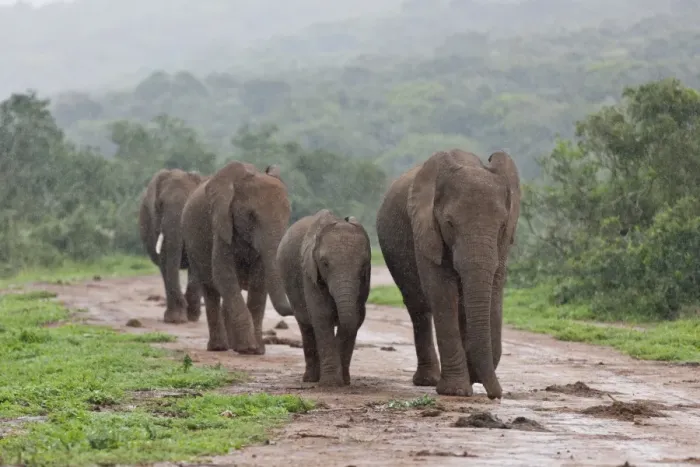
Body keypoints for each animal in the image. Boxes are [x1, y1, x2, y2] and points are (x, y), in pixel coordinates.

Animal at [139, 168, 208, 324]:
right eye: (160, 204)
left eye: (190, 204)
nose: (183, 303)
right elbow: (165, 261)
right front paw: (175, 319)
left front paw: (191, 316)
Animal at [181, 160, 294, 355]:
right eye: (251, 216)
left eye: (288, 215)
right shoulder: (221, 225)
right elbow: (223, 275)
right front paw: (248, 348)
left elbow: (259, 283)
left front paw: (257, 351)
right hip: (192, 245)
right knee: (211, 290)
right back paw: (219, 347)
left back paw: (232, 346)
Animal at [276, 209, 371, 387]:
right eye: (325, 263)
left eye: (363, 265)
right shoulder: (309, 272)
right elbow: (322, 315)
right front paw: (331, 383)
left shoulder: (365, 281)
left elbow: (356, 318)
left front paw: (343, 381)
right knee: (306, 325)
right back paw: (310, 379)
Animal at [375, 149, 520, 399]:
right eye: (450, 224)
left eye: (502, 226)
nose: (497, 395)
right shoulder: (425, 230)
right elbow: (442, 292)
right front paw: (456, 391)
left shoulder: (503, 243)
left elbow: (495, 290)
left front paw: (471, 380)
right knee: (419, 308)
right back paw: (427, 381)